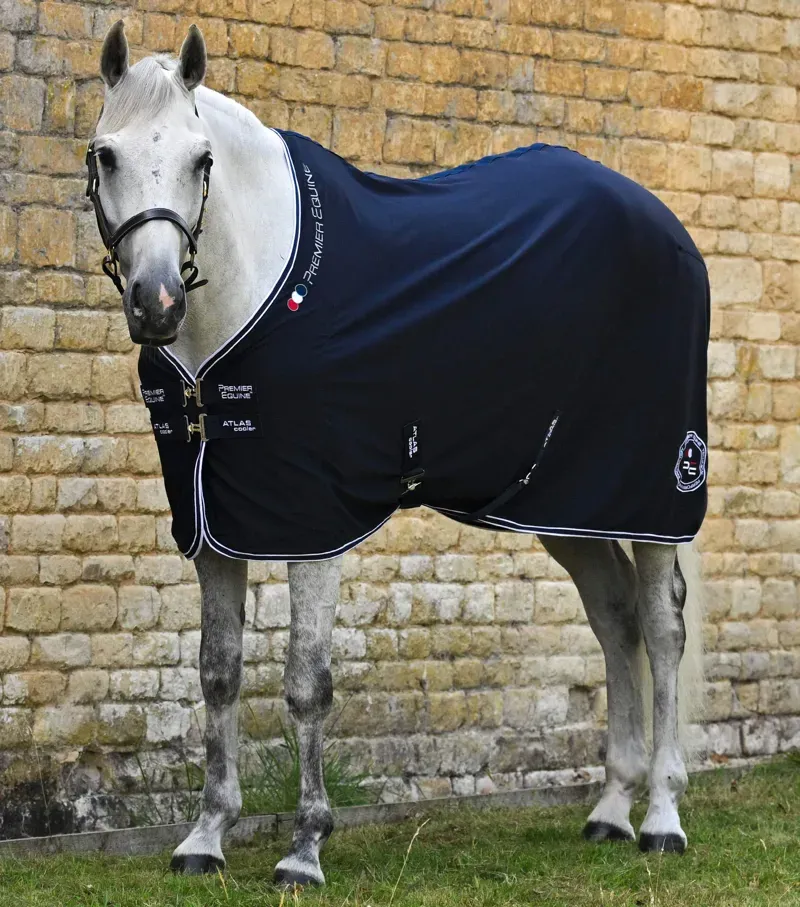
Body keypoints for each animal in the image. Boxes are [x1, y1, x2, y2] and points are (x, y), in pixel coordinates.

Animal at [87, 21, 708, 887]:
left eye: (201, 160)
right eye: (104, 155)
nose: (156, 303)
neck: (246, 307)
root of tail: (666, 226)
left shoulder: (313, 523)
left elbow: (305, 683)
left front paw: (305, 847)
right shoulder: (216, 526)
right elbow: (219, 673)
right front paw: (205, 837)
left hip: (652, 493)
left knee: (660, 627)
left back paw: (661, 816)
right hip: (565, 504)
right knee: (615, 622)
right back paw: (611, 808)